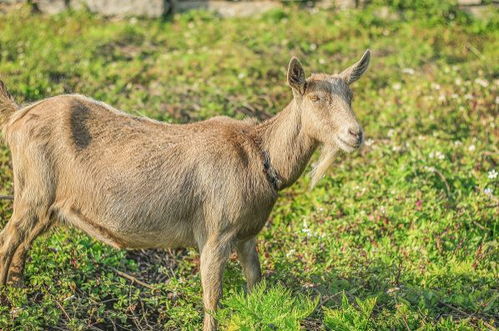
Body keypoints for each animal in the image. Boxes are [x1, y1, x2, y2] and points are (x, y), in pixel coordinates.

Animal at [0, 50, 372, 330]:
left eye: (351, 95)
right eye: (316, 98)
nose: (355, 133)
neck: (259, 156)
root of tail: (18, 116)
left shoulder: (248, 235)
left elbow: (255, 282)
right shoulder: (216, 232)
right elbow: (212, 297)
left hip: (48, 201)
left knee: (25, 239)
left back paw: (20, 291)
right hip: (33, 190)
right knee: (9, 237)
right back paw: (7, 302)